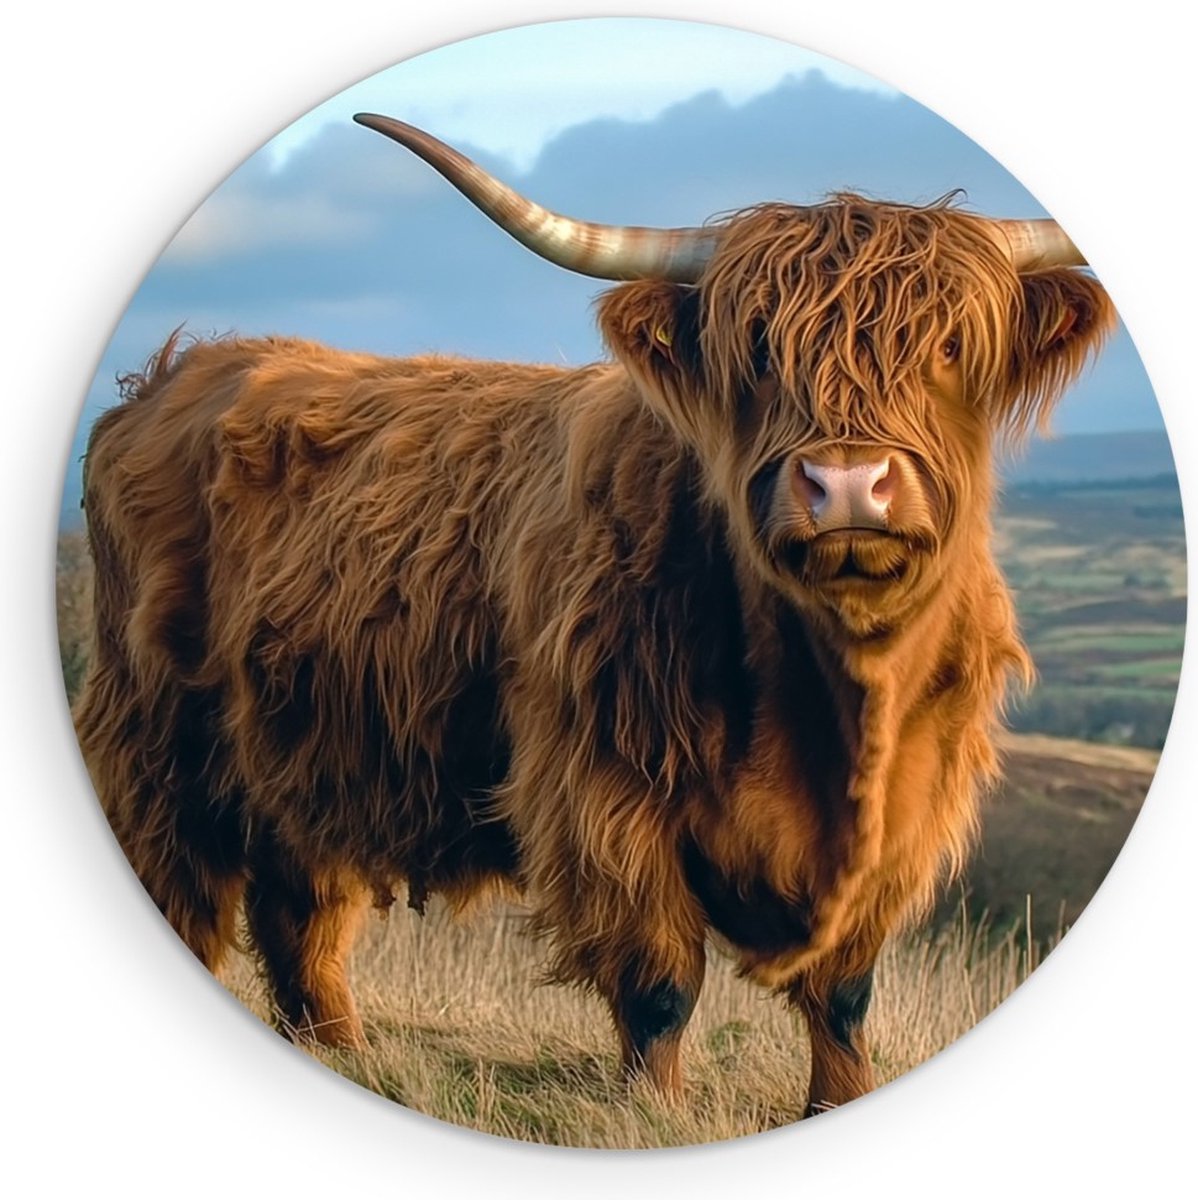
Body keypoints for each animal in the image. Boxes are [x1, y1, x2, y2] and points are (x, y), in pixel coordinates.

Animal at [73, 114, 1114, 1118]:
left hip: (307, 750)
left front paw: (838, 1100)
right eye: (758, 350)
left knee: (301, 907)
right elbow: (661, 979)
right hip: (156, 740)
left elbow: (844, 992)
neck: (828, 697)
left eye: (949, 346)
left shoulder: (907, 815)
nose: (848, 483)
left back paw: (345, 1052)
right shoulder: (606, 793)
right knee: (188, 891)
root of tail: (174, 374)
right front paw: (652, 1115)